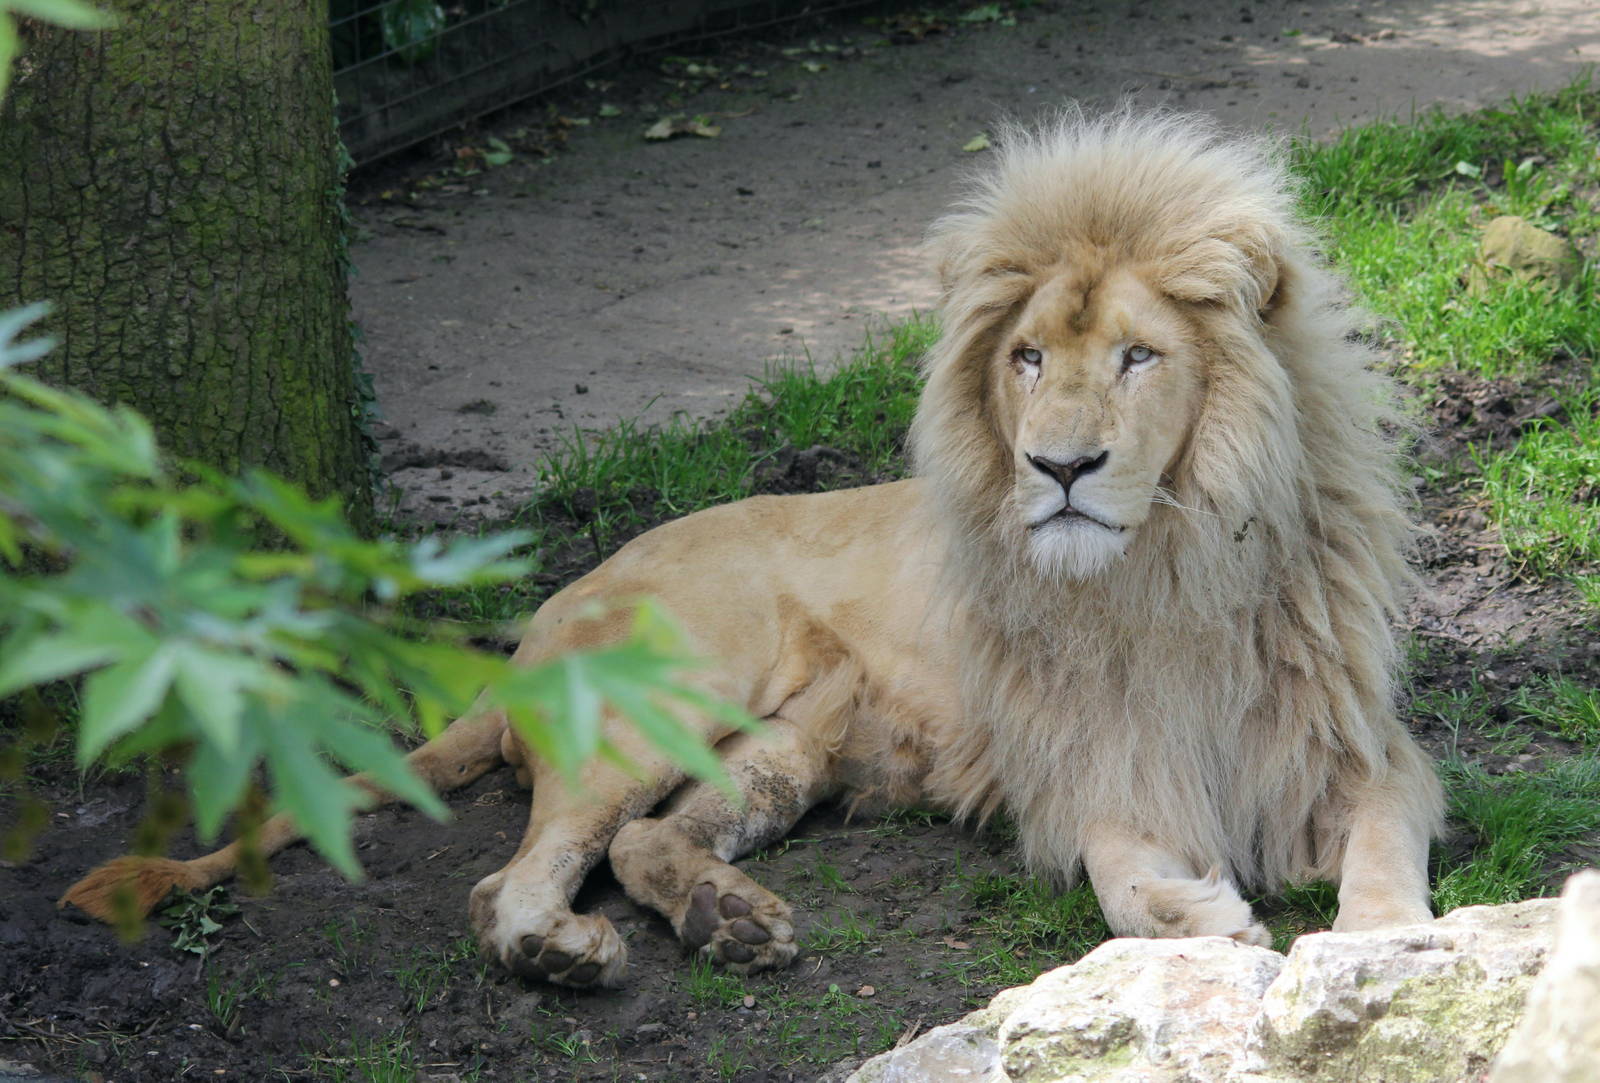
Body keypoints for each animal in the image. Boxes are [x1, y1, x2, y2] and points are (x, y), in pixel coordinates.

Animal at [61, 108, 1444, 987]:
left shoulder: (1355, 751)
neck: (1165, 566)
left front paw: (1383, 945)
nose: (1059, 467)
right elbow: (1113, 866)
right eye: (1024, 360)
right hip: (653, 702)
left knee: (641, 843)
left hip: (784, 747)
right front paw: (1197, 912)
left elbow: (1384, 844)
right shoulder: (1083, 770)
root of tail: (541, 616)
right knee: (515, 880)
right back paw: (567, 951)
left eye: (1140, 357)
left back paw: (727, 919)